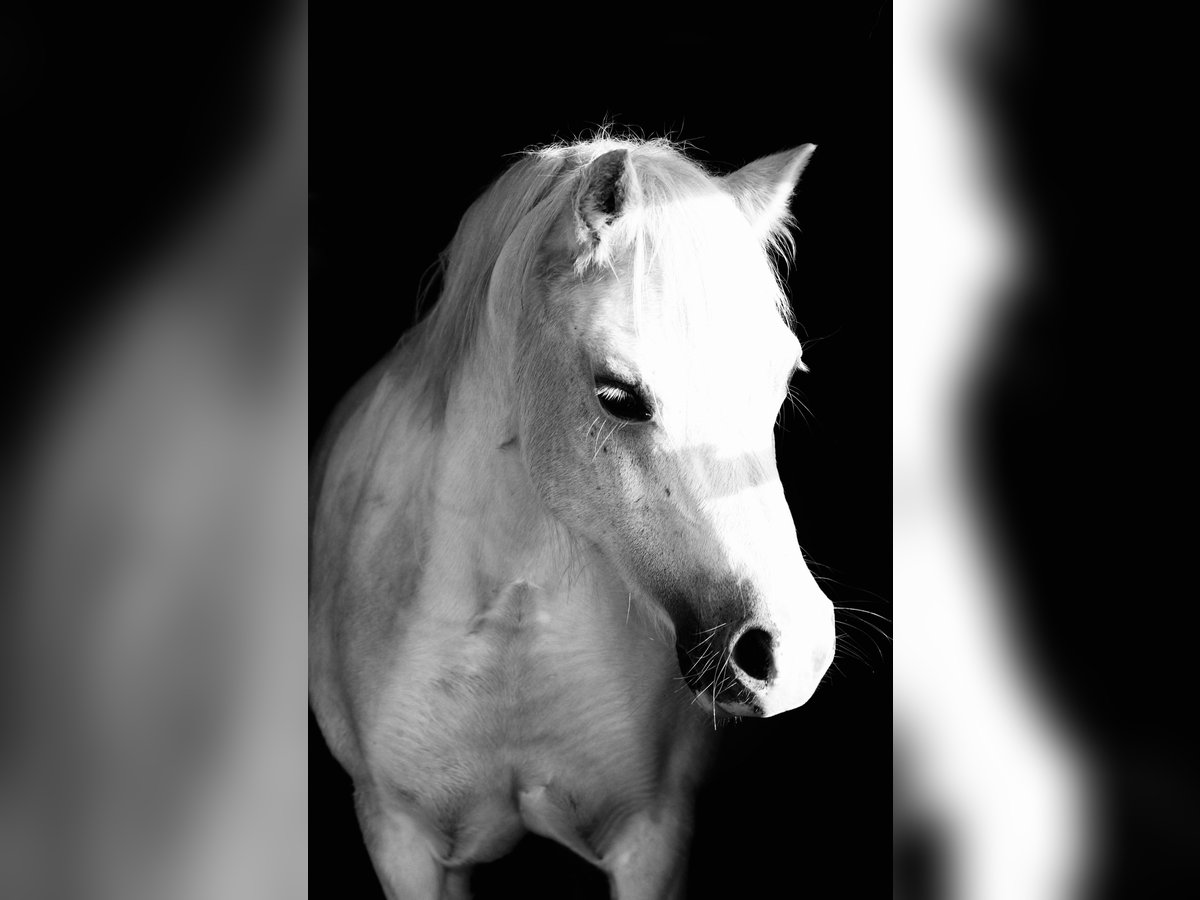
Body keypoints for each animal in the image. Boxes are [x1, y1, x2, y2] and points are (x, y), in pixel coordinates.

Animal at [309, 135, 836, 899]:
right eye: (616, 394)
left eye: (784, 376)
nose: (792, 651)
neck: (514, 620)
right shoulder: (403, 842)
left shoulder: (652, 838)